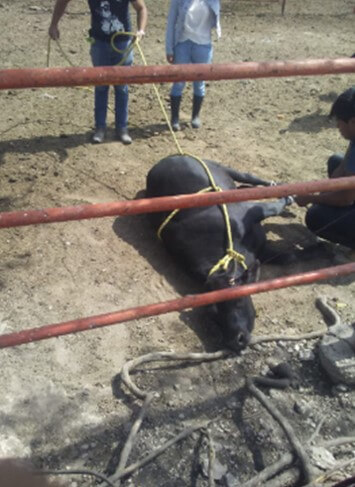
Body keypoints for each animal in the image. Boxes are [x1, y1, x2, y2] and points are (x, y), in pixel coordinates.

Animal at [146, 155, 294, 350]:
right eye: (213, 316)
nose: (235, 340)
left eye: (237, 300)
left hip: (222, 167)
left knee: (248, 176)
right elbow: (283, 256)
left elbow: (273, 207)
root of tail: (167, 159)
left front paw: (287, 197)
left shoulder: (248, 212)